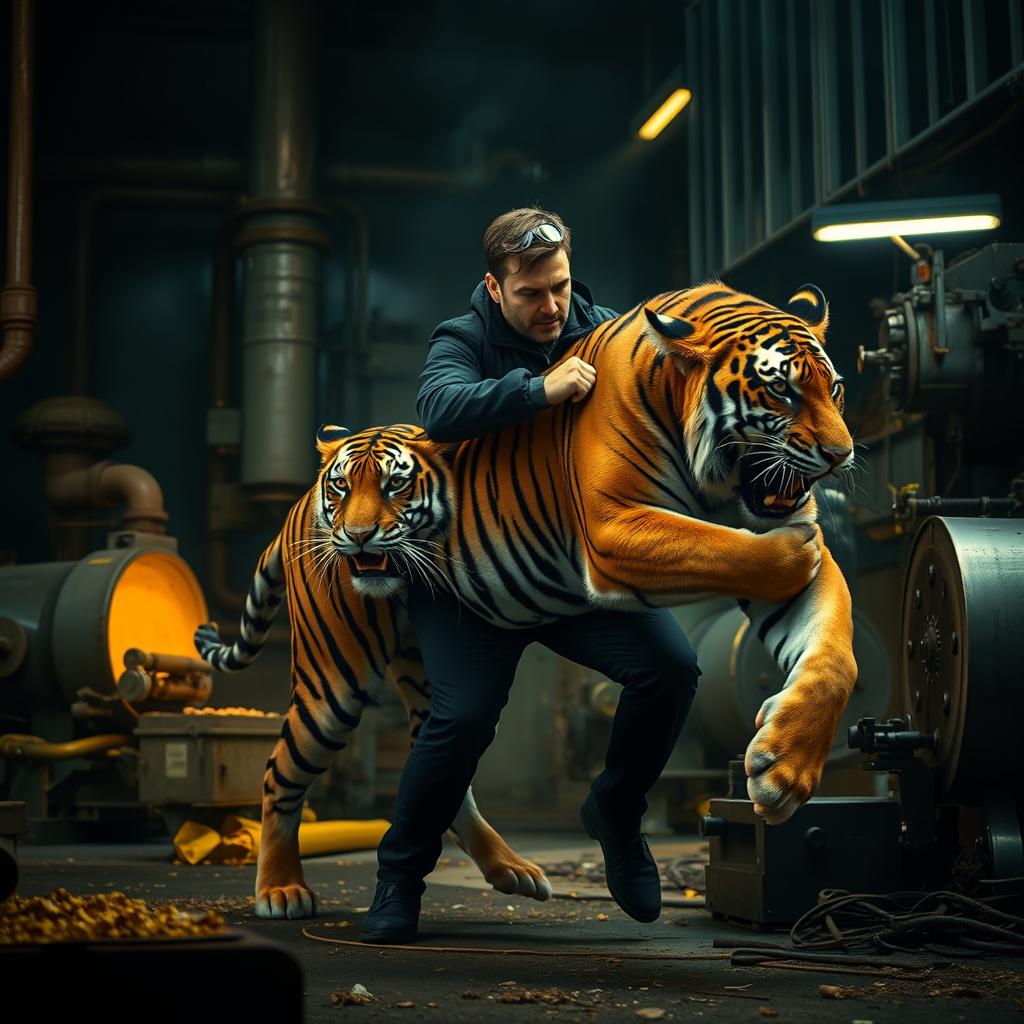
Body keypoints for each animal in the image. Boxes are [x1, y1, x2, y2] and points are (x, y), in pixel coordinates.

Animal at [195, 278, 851, 921]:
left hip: (430, 672)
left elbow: (835, 658)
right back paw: (281, 889)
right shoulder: (614, 527)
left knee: (447, 764)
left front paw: (785, 772)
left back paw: (512, 871)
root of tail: (305, 494)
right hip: (334, 679)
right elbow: (732, 548)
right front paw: (799, 552)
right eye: (781, 392)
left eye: (836, 389)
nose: (840, 454)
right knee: (281, 773)